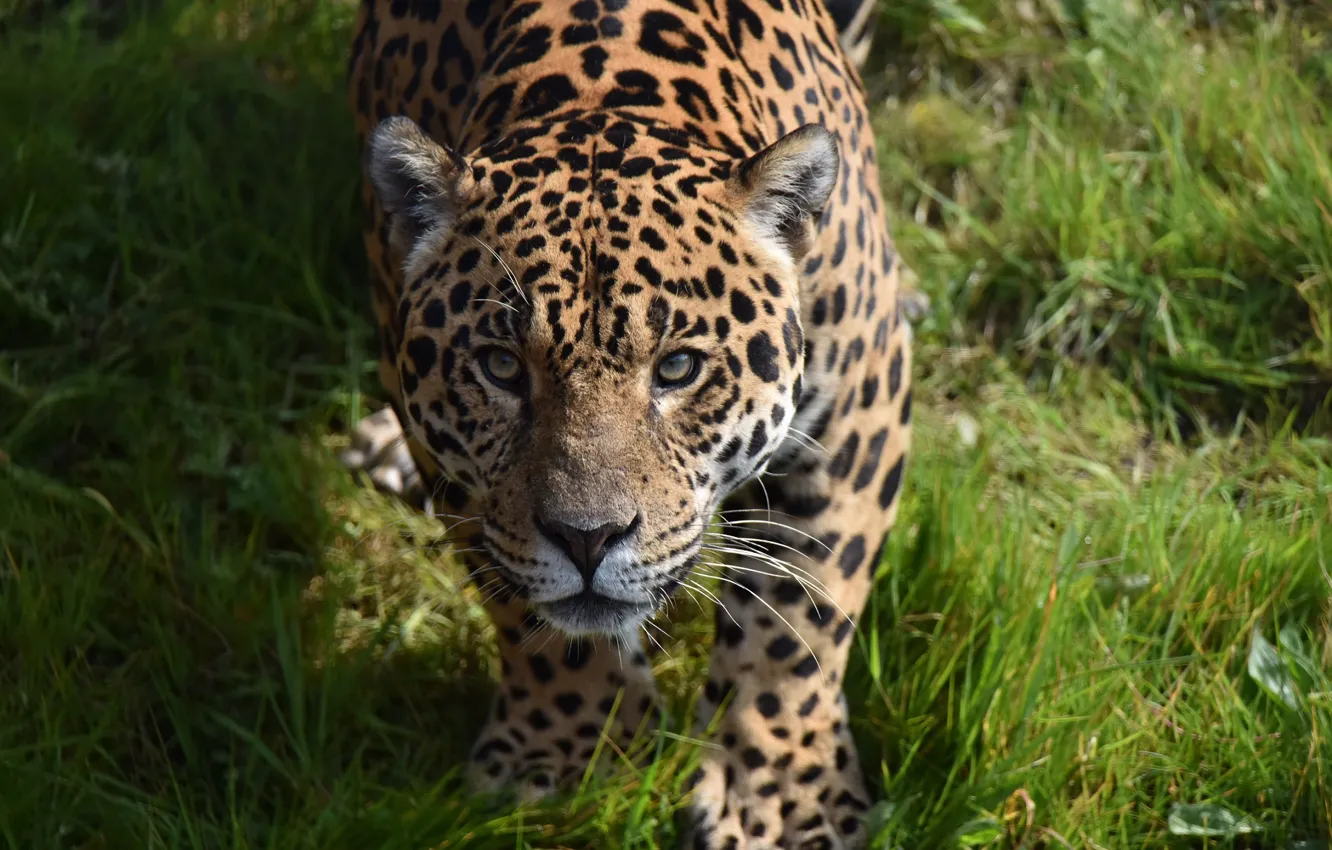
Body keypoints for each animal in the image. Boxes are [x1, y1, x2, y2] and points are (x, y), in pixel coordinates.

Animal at [342, 0, 913, 846]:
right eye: (502, 367)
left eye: (676, 369)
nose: (588, 539)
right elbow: (529, 609)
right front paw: (570, 748)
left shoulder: (860, 396)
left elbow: (800, 614)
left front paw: (780, 798)